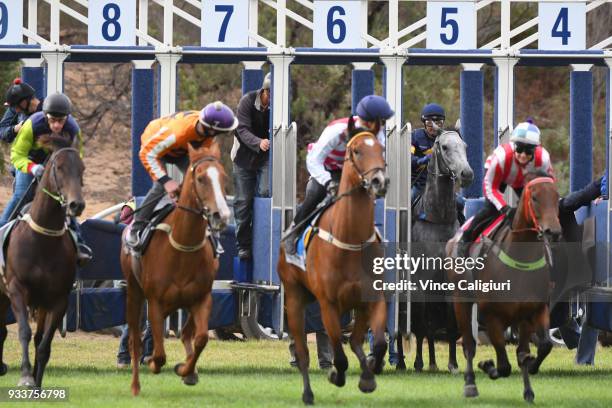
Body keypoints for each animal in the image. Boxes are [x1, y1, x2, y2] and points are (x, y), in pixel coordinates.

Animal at [0, 136, 85, 386]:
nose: (76, 205)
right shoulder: (17, 290)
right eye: (59, 167)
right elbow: (24, 333)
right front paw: (25, 376)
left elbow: (44, 343)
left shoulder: (58, 299)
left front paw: (36, 385)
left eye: (82, 169)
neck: (42, 240)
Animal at [120, 143, 231, 396]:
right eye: (200, 178)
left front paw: (185, 370)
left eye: (224, 177)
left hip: (184, 302)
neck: (183, 247)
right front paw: (153, 362)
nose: (221, 215)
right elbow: (159, 355)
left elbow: (201, 338)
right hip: (134, 293)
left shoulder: (203, 298)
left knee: (188, 333)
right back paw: (135, 386)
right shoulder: (155, 302)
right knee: (134, 341)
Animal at [278, 119, 388, 404]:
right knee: (303, 353)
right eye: (357, 150)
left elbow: (378, 344)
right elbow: (339, 356)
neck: (351, 240)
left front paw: (369, 375)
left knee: (357, 340)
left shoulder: (373, 297)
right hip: (295, 297)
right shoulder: (328, 304)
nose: (379, 181)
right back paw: (307, 393)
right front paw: (336, 375)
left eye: (381, 149)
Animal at [448, 171, 560, 402]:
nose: (553, 232)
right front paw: (487, 365)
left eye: (557, 197)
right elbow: (504, 366)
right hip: (461, 303)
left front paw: (529, 386)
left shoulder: (535, 310)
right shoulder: (492, 317)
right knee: (469, 345)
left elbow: (537, 348)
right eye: (534, 197)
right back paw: (470, 383)